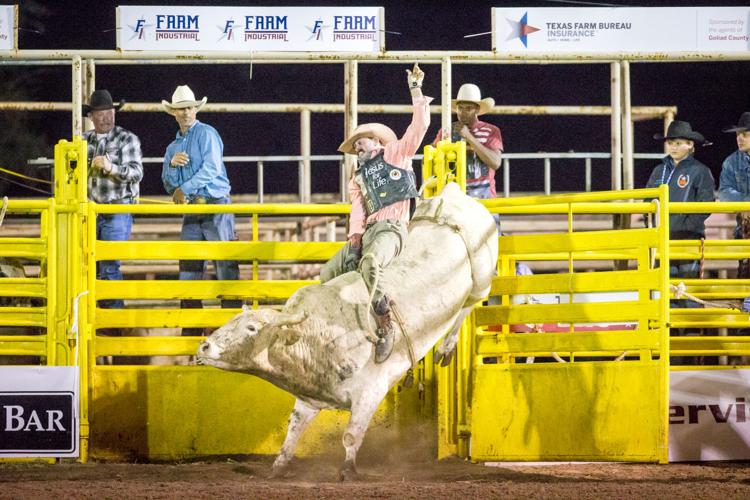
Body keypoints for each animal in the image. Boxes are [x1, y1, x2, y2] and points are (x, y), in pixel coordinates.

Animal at [197, 182, 500, 478]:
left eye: (251, 328)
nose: (204, 346)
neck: (314, 335)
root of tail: (451, 194)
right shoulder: (309, 399)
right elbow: (293, 429)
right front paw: (279, 466)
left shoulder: (371, 392)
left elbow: (351, 435)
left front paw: (348, 469)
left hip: (481, 280)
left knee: (468, 305)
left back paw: (446, 348)